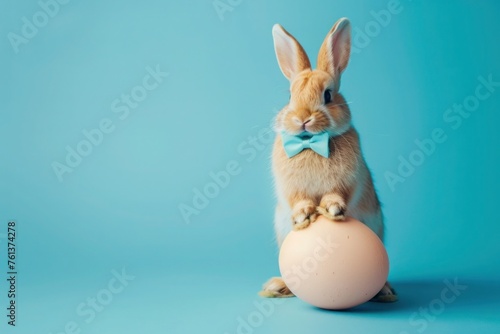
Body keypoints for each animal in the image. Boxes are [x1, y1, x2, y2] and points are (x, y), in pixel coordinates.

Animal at [260, 17, 396, 302]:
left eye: (328, 95)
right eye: (290, 96)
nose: (302, 118)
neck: (310, 143)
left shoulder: (348, 182)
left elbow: (338, 194)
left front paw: (332, 209)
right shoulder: (291, 189)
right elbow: (298, 200)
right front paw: (303, 214)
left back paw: (384, 290)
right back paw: (278, 286)